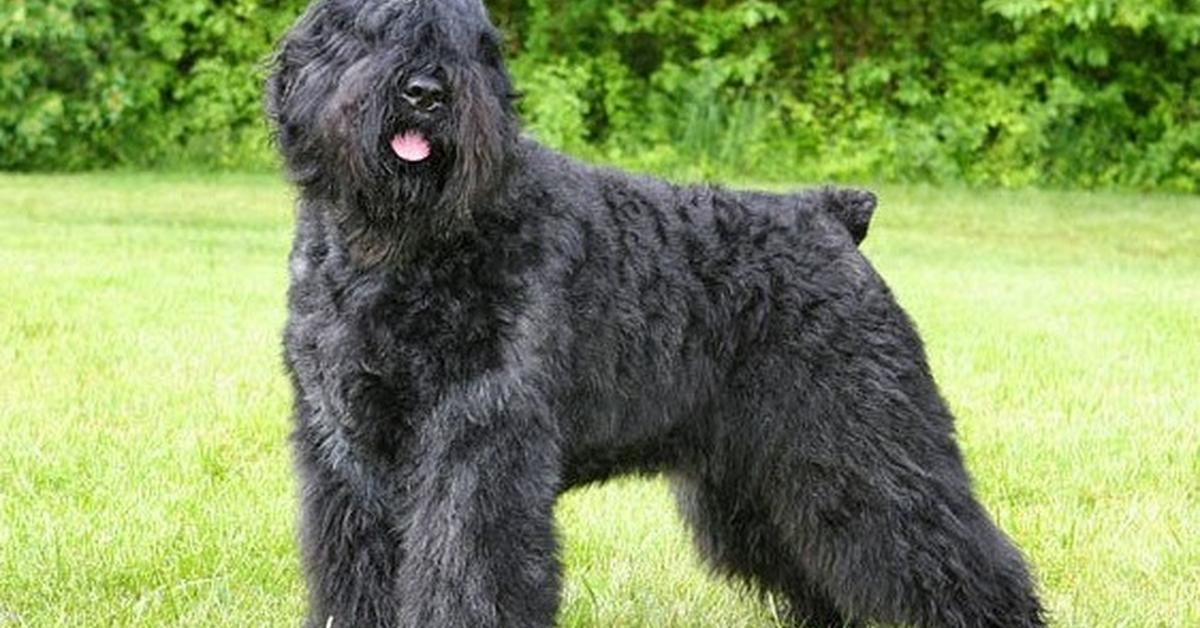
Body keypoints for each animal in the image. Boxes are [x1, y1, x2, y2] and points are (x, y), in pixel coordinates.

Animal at [265, 1, 1041, 628]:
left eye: (472, 45)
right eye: (367, 30)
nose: (426, 92)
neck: (395, 247)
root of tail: (830, 215)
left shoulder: (476, 449)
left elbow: (467, 572)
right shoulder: (344, 450)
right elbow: (356, 571)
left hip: (869, 447)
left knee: (960, 559)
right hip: (764, 482)